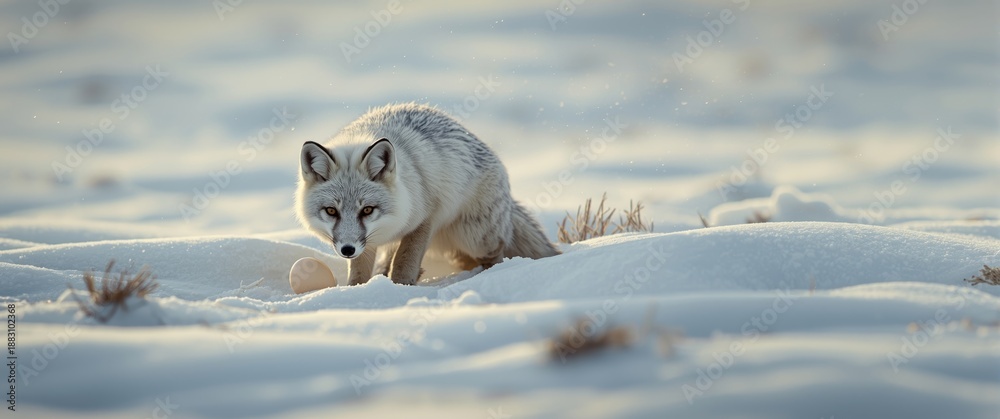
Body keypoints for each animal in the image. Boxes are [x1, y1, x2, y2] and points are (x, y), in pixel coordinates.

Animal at [296, 103, 559, 286]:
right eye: (331, 211)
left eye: (367, 209)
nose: (347, 250)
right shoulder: (367, 243)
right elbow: (360, 271)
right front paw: (356, 291)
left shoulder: (426, 218)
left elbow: (404, 260)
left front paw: (399, 288)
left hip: (476, 238)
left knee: (495, 254)